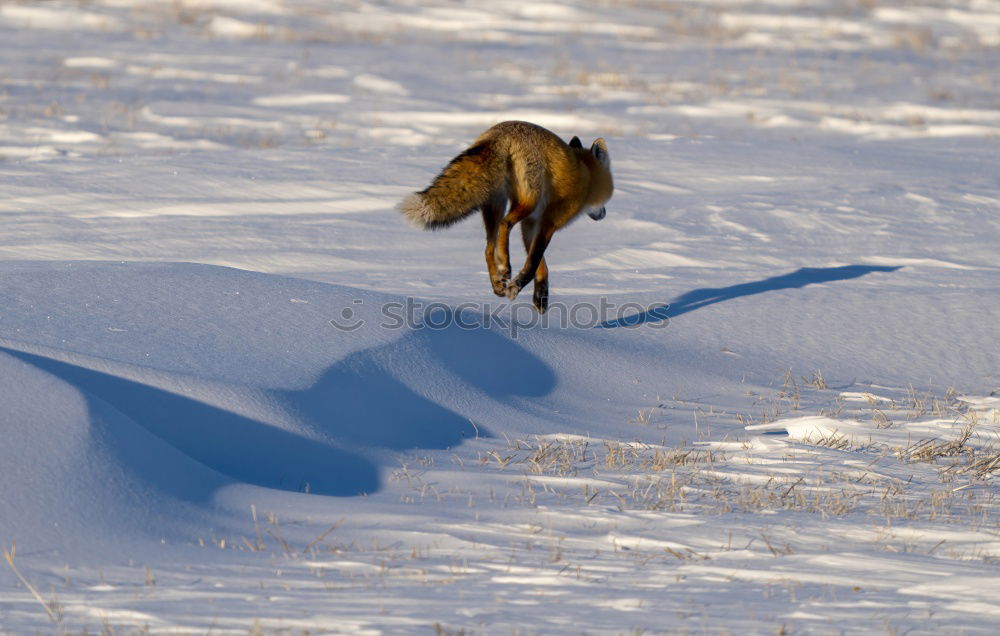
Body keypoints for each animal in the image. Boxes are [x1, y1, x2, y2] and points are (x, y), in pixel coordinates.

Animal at [398, 120, 608, 314]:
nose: (604, 214)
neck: (584, 173)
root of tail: (499, 134)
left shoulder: (531, 224)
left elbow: (540, 264)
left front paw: (540, 297)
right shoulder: (547, 222)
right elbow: (534, 261)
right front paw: (521, 287)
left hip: (495, 204)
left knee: (488, 248)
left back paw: (498, 283)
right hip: (528, 201)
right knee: (505, 224)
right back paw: (505, 267)